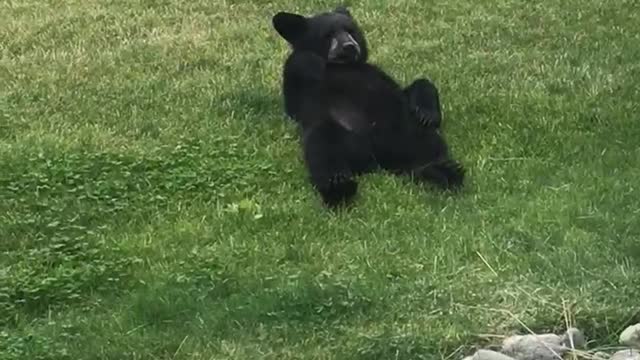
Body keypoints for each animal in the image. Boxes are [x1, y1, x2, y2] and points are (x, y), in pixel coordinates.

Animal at [272, 5, 464, 208]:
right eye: (328, 35)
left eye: (351, 30)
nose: (349, 46)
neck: (342, 66)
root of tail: (377, 160)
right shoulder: (302, 88)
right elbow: (295, 91)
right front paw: (309, 60)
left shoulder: (376, 75)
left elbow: (416, 86)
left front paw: (427, 113)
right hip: (338, 134)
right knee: (322, 148)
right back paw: (337, 186)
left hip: (403, 129)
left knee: (427, 145)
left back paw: (442, 171)